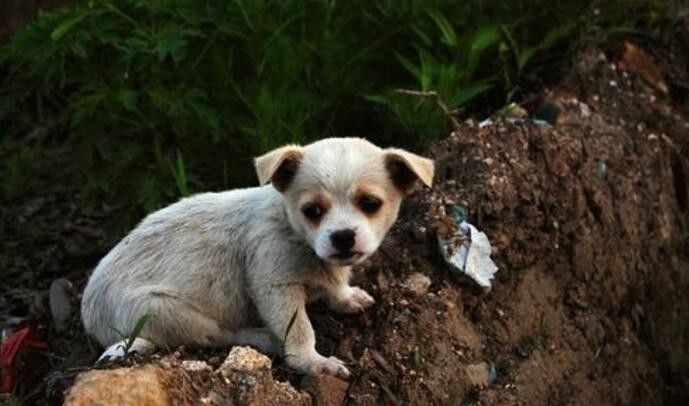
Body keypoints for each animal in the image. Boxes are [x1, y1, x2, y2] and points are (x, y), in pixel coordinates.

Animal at [80, 137, 432, 378]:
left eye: (370, 203)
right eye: (313, 210)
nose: (343, 236)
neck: (292, 230)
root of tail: (90, 318)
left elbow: (335, 285)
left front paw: (346, 297)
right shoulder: (275, 286)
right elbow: (300, 330)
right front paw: (314, 363)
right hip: (161, 310)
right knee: (217, 334)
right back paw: (263, 338)